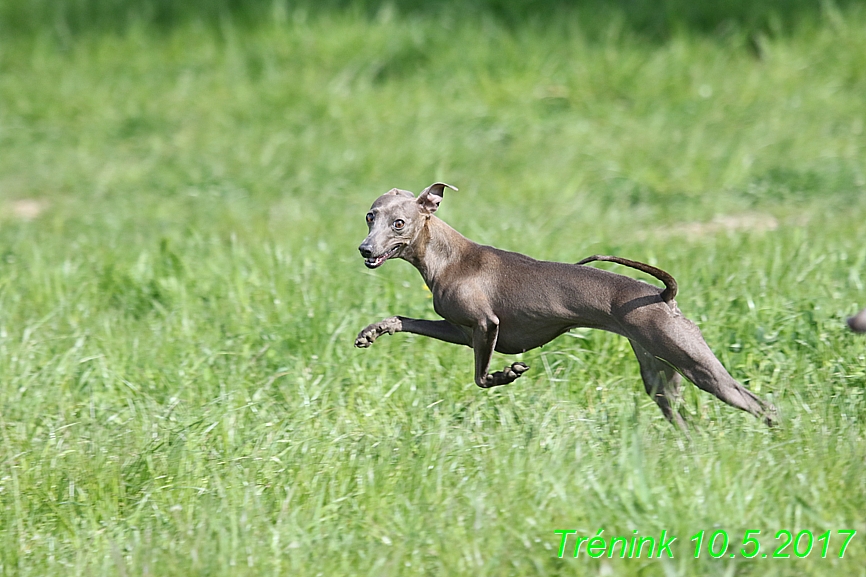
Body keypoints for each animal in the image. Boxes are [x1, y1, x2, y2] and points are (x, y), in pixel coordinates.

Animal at [354, 182, 772, 426]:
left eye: (399, 223)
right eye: (370, 216)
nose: (365, 250)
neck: (448, 256)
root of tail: (662, 295)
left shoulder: (487, 326)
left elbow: (481, 377)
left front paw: (507, 374)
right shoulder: (460, 330)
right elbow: (403, 320)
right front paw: (373, 331)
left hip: (696, 364)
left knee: (761, 404)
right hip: (661, 379)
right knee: (685, 421)